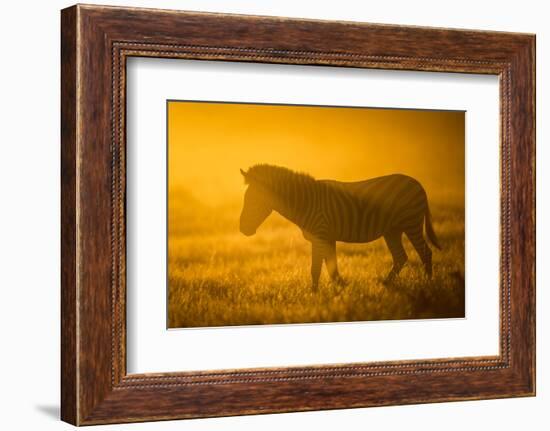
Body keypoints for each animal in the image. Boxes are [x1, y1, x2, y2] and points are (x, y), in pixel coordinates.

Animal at [239, 164, 442, 292]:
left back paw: (428, 284)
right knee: (401, 257)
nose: (242, 229)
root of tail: (417, 183)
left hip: (411, 222)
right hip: (392, 230)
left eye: (252, 201)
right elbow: (332, 268)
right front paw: (341, 289)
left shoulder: (320, 235)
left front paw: (314, 294)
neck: (306, 202)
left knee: (425, 252)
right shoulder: (328, 237)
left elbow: (316, 268)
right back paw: (386, 284)